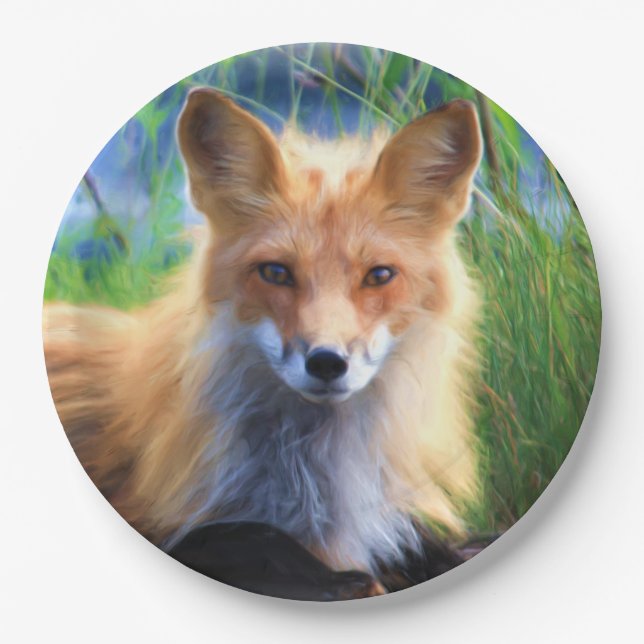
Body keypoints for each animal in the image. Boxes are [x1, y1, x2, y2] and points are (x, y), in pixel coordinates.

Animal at [43, 88, 484, 600]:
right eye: (276, 272)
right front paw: (341, 578)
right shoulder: (162, 518)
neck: (311, 480)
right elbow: (251, 537)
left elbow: (439, 545)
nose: (327, 362)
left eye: (378, 276)